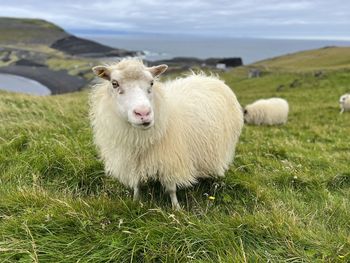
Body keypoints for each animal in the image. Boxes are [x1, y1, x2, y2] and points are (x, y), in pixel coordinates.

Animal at [90, 58, 243, 209]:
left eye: (152, 82)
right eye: (114, 83)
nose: (143, 113)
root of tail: (208, 77)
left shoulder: (170, 159)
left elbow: (171, 189)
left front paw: (176, 208)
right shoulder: (132, 160)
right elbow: (136, 184)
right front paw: (135, 201)